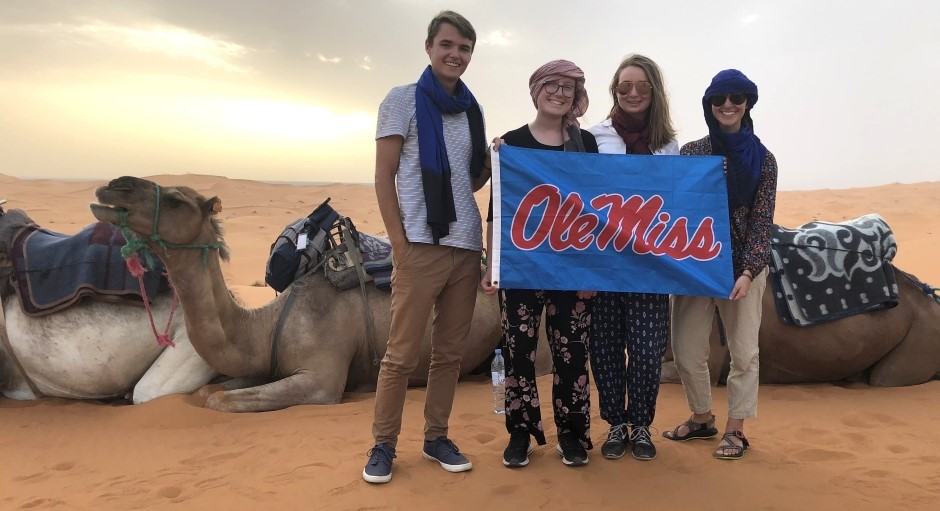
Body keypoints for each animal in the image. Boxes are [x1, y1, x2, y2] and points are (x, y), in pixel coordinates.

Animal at [91, 176, 504, 412]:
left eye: (177, 200)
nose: (113, 185)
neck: (266, 326)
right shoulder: (265, 367)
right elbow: (210, 391)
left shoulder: (321, 380)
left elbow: (219, 398)